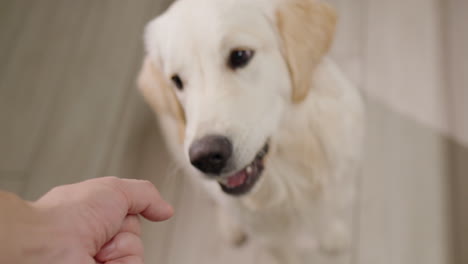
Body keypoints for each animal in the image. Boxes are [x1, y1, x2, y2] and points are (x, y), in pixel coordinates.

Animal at [137, 0, 364, 262]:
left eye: (240, 55)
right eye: (176, 80)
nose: (206, 157)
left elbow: (326, 212)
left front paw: (331, 236)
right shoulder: (272, 239)